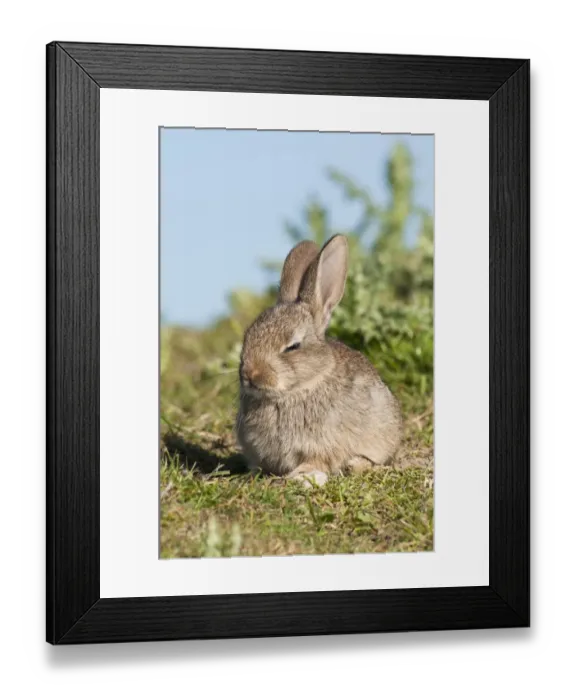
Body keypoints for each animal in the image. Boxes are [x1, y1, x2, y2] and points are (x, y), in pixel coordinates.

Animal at [235, 234, 403, 487]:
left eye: (293, 346)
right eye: (247, 336)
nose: (250, 375)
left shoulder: (323, 445)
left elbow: (318, 461)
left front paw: (304, 477)